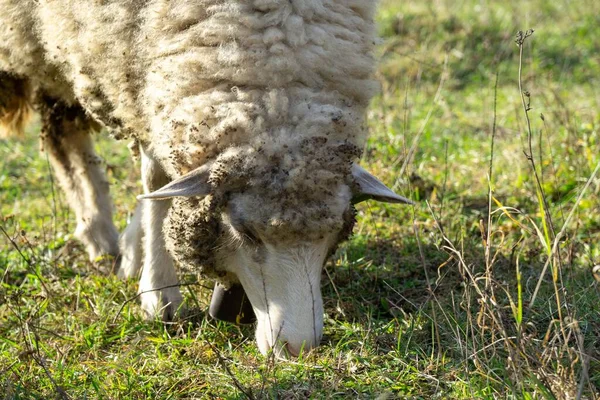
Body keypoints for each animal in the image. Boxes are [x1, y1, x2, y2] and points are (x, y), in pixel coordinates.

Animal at [0, 0, 412, 356]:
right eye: (245, 233)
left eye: (338, 232)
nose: (297, 348)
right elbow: (156, 180)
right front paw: (160, 294)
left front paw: (139, 252)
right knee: (64, 133)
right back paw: (99, 232)